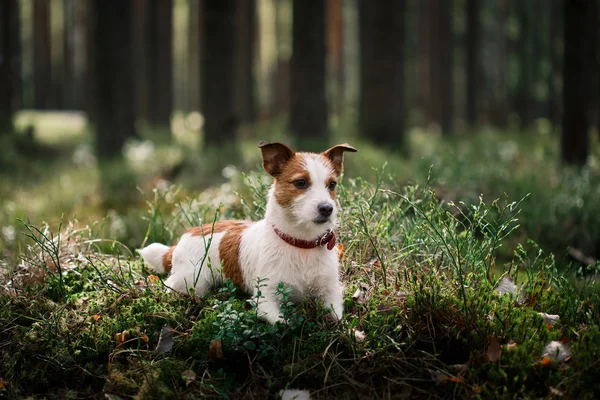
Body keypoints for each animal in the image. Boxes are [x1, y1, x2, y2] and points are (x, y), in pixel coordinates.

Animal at [139, 142, 356, 324]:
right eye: (301, 183)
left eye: (332, 184)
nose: (327, 208)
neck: (301, 244)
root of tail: (183, 238)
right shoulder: (265, 299)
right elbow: (282, 324)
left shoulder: (331, 291)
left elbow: (337, 317)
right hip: (192, 281)